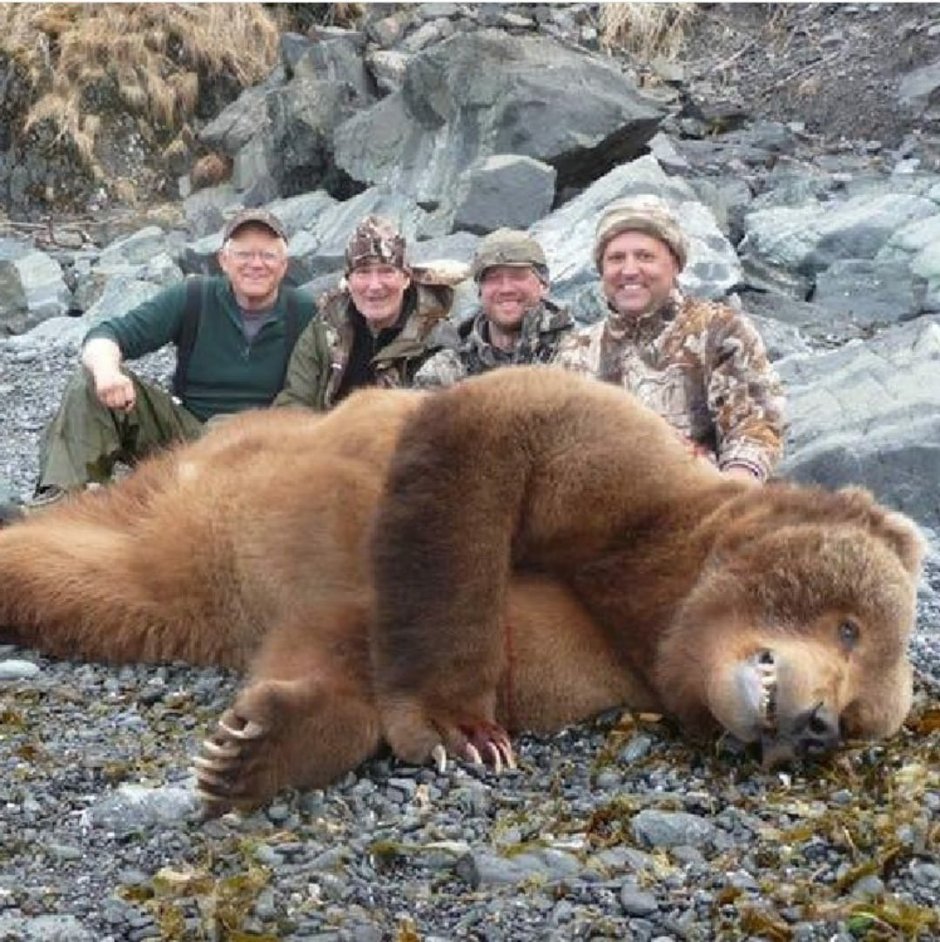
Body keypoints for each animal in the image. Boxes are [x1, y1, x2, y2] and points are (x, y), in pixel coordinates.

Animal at [0, 367, 924, 812]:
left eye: (859, 721)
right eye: (851, 627)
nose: (815, 725)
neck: (646, 601)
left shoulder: (592, 651)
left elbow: (337, 641)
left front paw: (255, 747)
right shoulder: (627, 486)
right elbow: (490, 439)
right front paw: (463, 729)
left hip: (169, 584)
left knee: (77, 580)